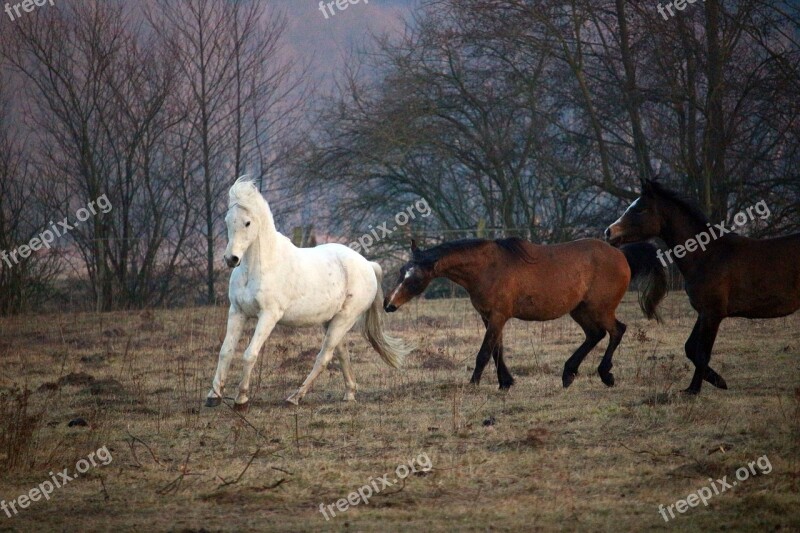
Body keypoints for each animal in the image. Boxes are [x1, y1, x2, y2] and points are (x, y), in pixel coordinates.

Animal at [203, 179, 416, 408]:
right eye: (227, 221)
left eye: (248, 222)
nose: (231, 259)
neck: (260, 267)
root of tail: (367, 264)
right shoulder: (237, 312)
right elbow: (225, 352)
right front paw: (213, 396)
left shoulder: (269, 316)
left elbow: (249, 354)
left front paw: (241, 399)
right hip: (331, 321)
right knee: (341, 352)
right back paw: (349, 393)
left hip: (344, 318)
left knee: (324, 356)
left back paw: (295, 397)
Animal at [384, 239, 664, 388]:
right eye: (400, 271)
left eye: (414, 278)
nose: (389, 304)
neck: (487, 268)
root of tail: (621, 254)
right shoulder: (489, 317)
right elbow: (497, 350)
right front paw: (505, 382)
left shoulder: (498, 316)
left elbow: (484, 352)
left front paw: (474, 383)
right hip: (580, 310)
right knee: (595, 335)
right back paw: (568, 373)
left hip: (600, 308)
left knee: (616, 330)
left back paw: (605, 374)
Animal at [608, 181, 800, 392]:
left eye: (640, 209)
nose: (609, 232)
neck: (707, 255)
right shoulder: (703, 312)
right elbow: (690, 348)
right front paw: (719, 381)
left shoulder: (713, 314)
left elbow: (702, 353)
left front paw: (693, 390)